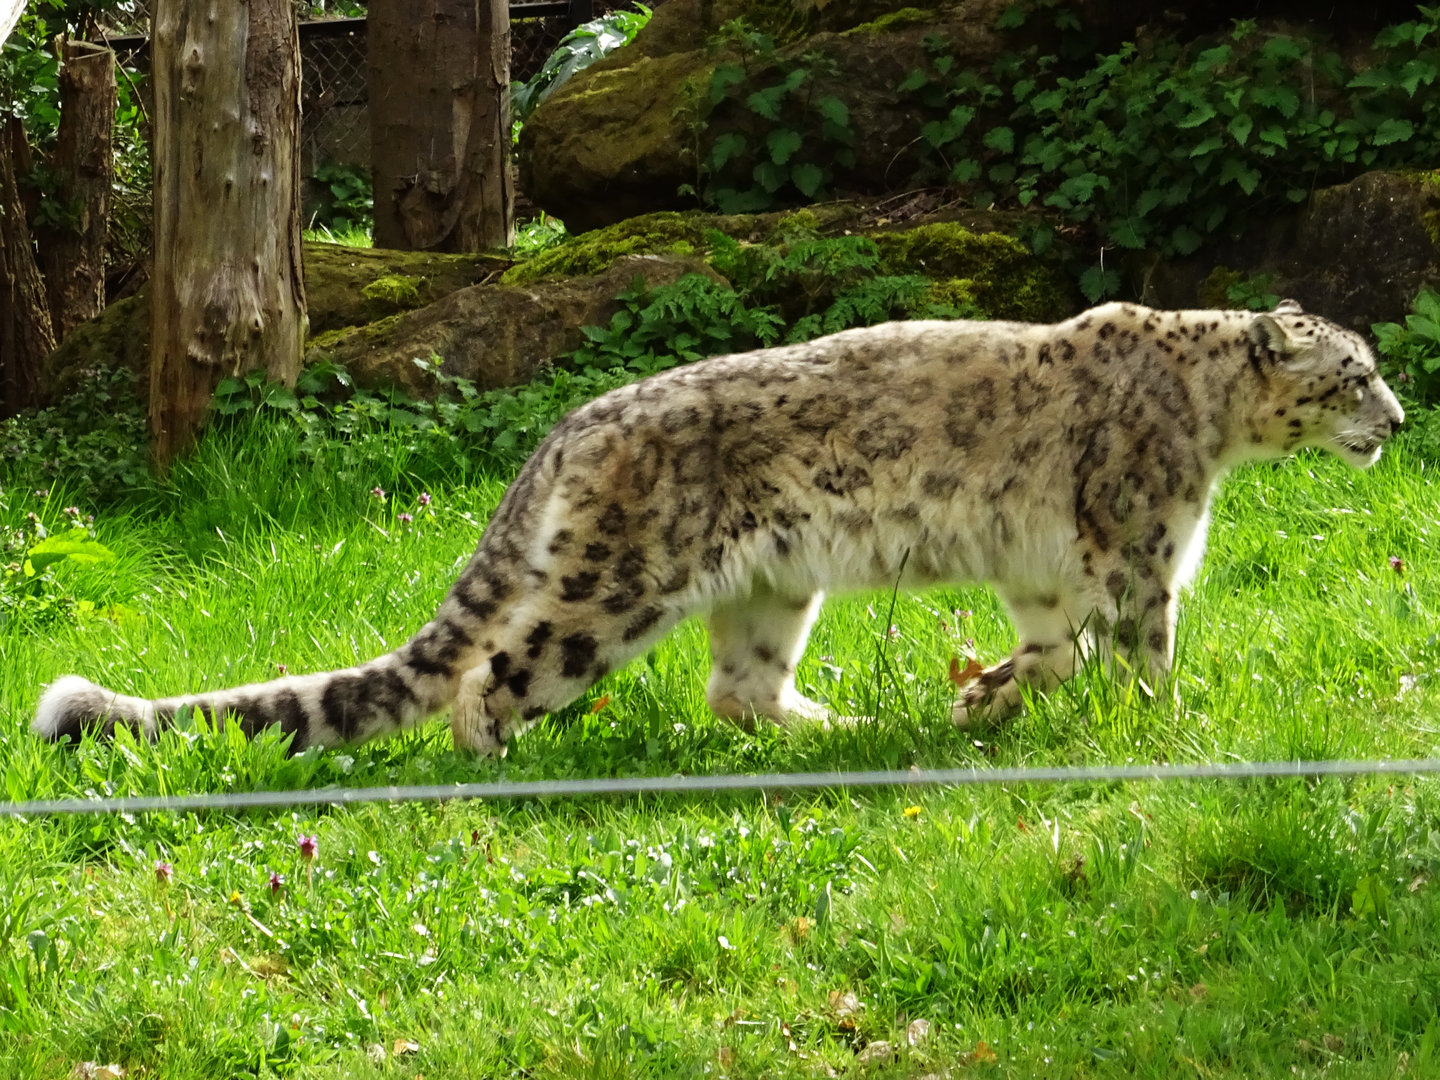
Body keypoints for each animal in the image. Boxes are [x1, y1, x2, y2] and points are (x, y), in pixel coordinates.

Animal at [33, 299, 1404, 754]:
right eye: (1352, 375)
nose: (1396, 420)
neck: (1216, 429)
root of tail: (578, 420)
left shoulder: (1053, 573)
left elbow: (1053, 648)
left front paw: (985, 697)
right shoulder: (1139, 553)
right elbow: (1139, 653)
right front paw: (1163, 727)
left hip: (770, 586)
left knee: (739, 690)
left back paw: (839, 730)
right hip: (618, 585)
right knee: (493, 673)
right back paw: (504, 761)